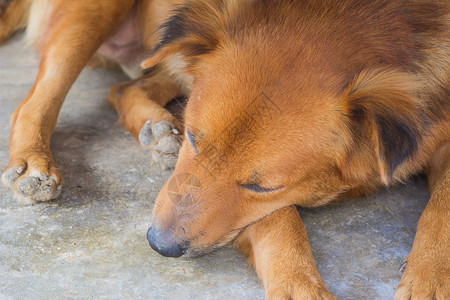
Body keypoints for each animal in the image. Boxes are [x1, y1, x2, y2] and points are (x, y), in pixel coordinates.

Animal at [0, 0, 450, 298]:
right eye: (195, 137)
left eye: (262, 186)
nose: (159, 245)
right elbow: (280, 223)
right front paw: (297, 284)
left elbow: (442, 207)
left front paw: (430, 279)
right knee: (36, 99)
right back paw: (33, 162)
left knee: (125, 87)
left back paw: (158, 131)